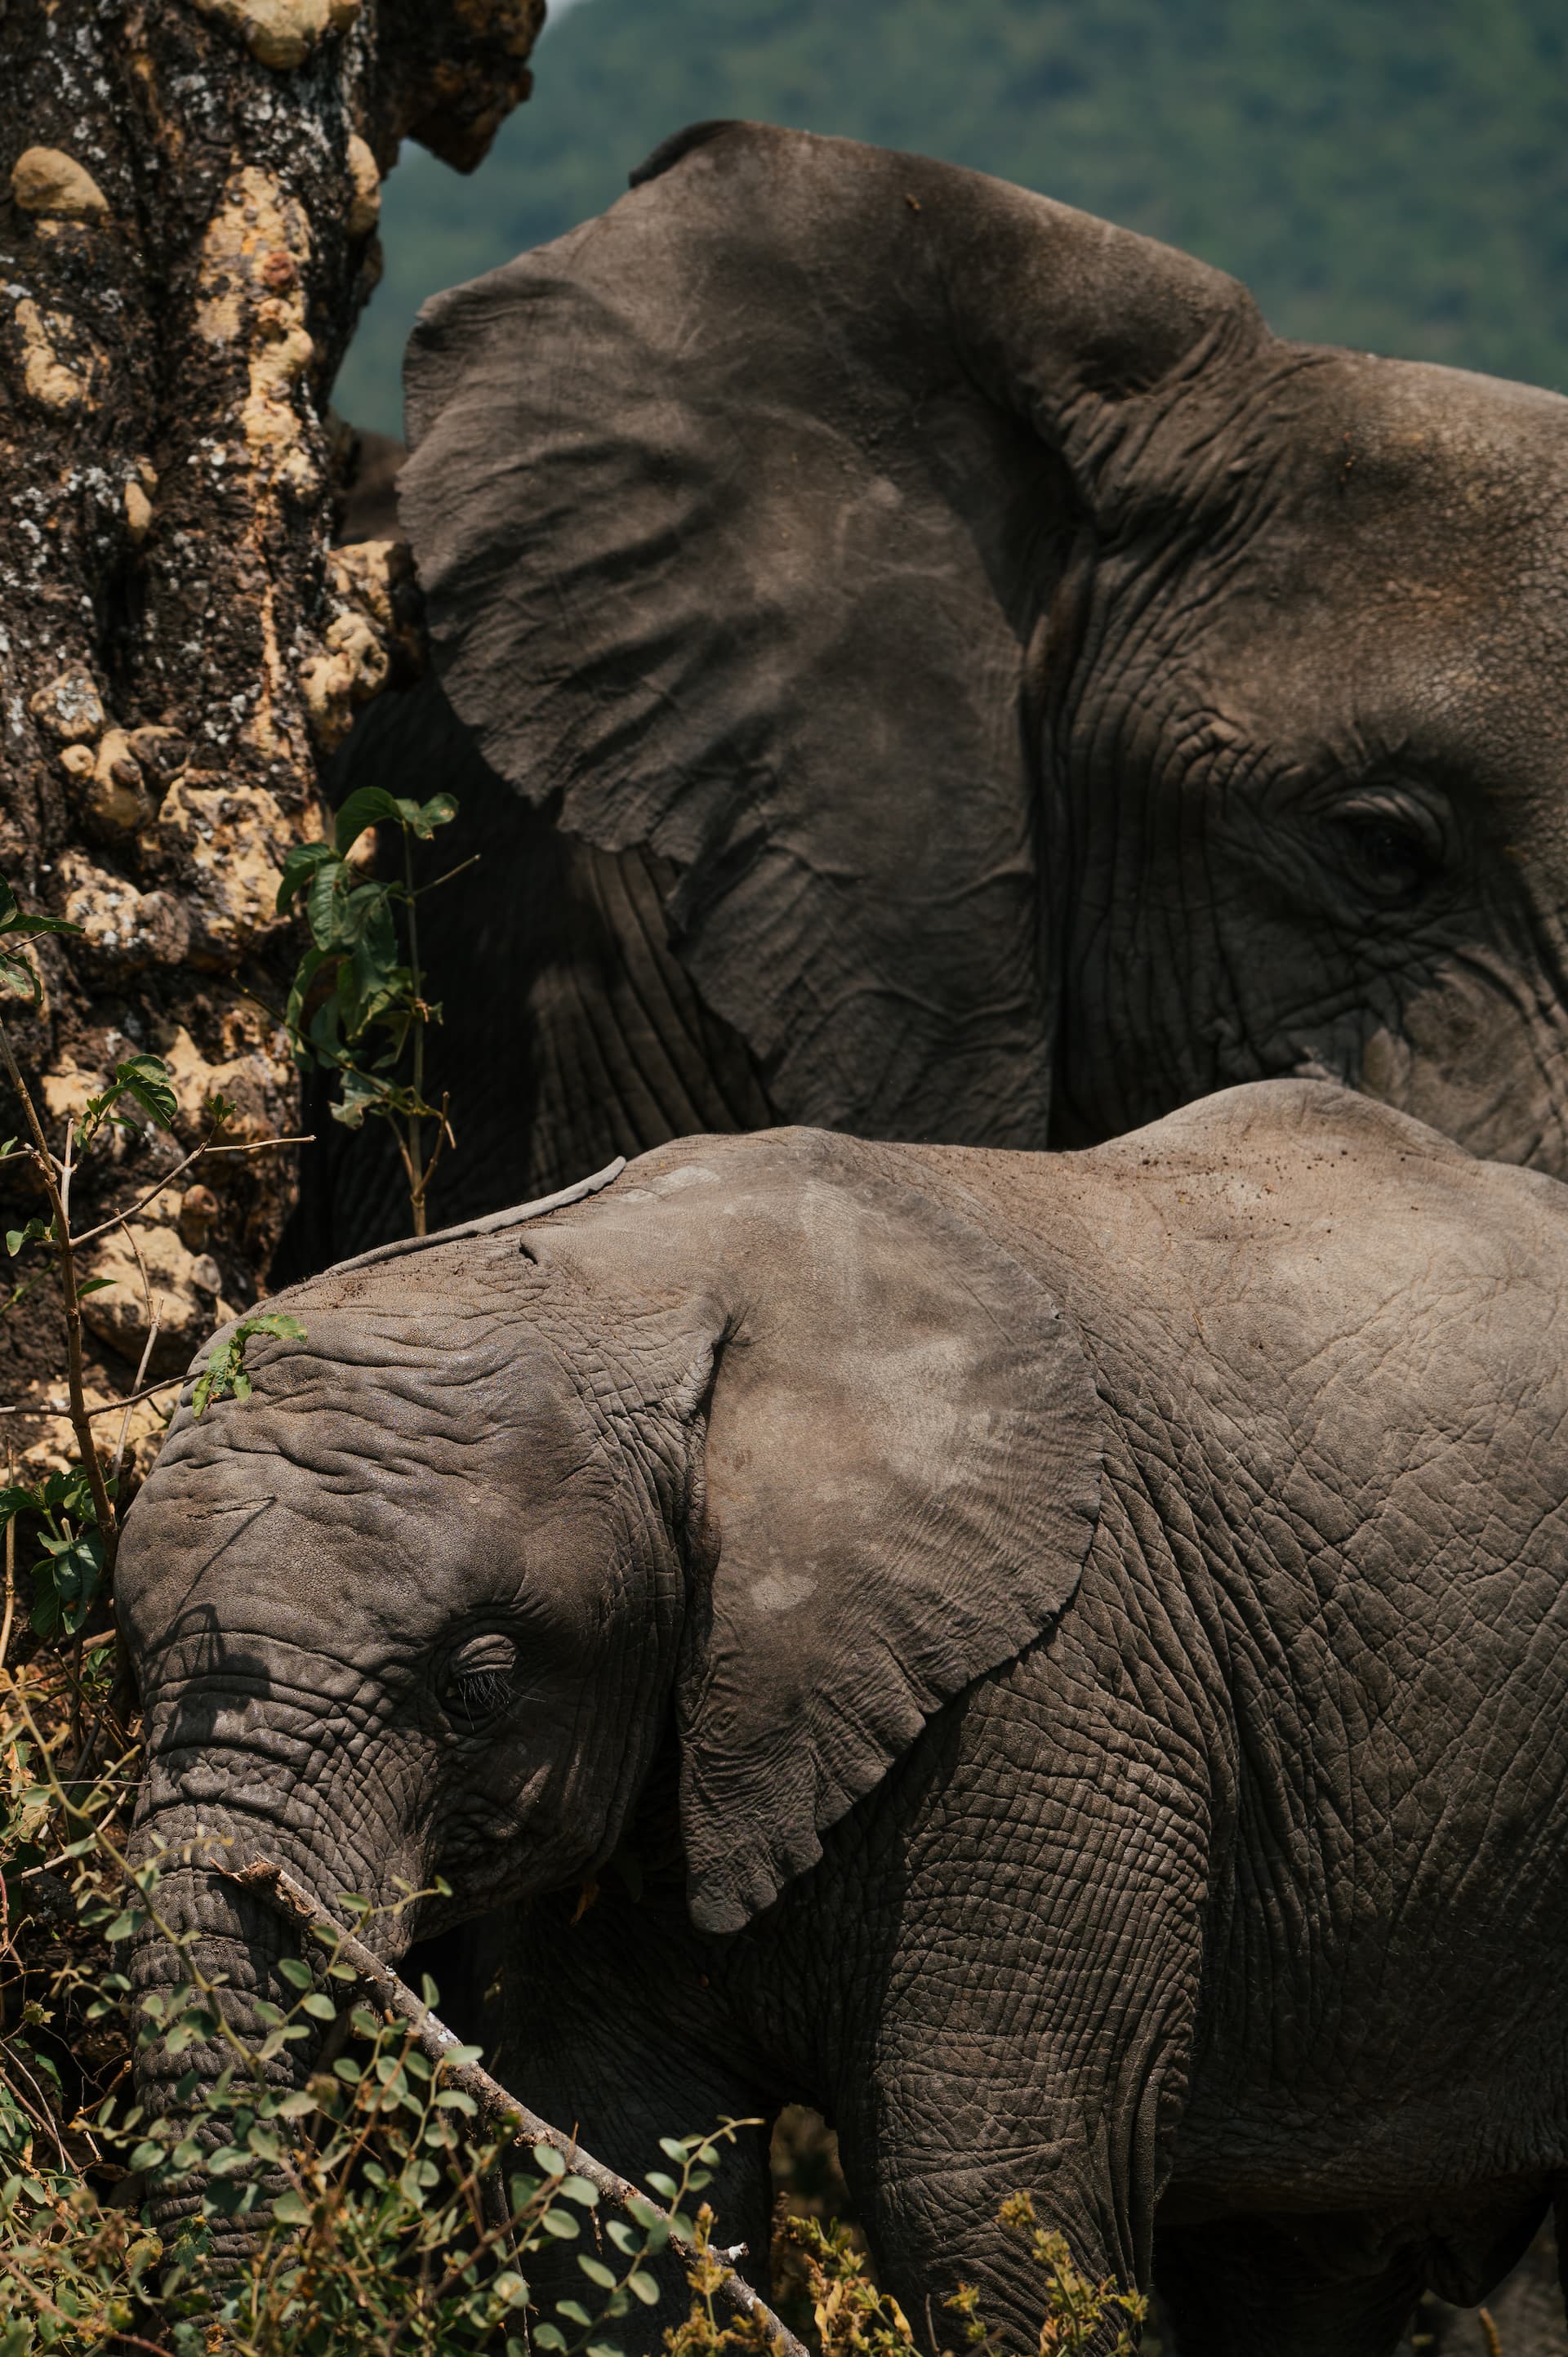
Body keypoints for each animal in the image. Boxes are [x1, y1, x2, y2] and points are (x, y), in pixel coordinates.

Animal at [124, 1077, 1568, 2354]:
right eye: (129, 1655)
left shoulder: (1062, 1687)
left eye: (474, 1685)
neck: (620, 1274)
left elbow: (983, 2197)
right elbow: (614, 2165)